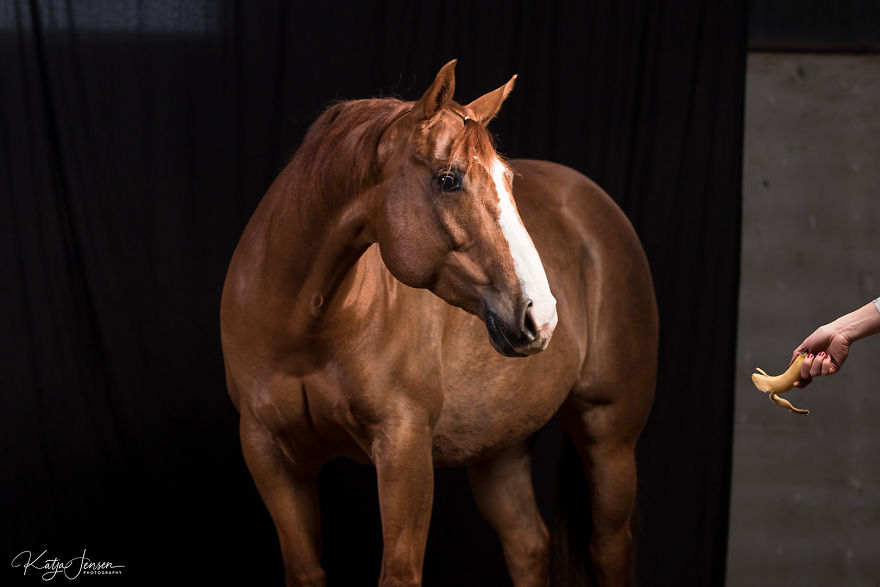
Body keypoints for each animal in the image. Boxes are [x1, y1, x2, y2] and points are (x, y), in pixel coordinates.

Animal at [220, 60, 658, 587]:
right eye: (449, 180)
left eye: (508, 180)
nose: (542, 314)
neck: (304, 330)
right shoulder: (269, 455)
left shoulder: (404, 448)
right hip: (499, 451)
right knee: (529, 546)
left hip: (609, 440)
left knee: (608, 549)